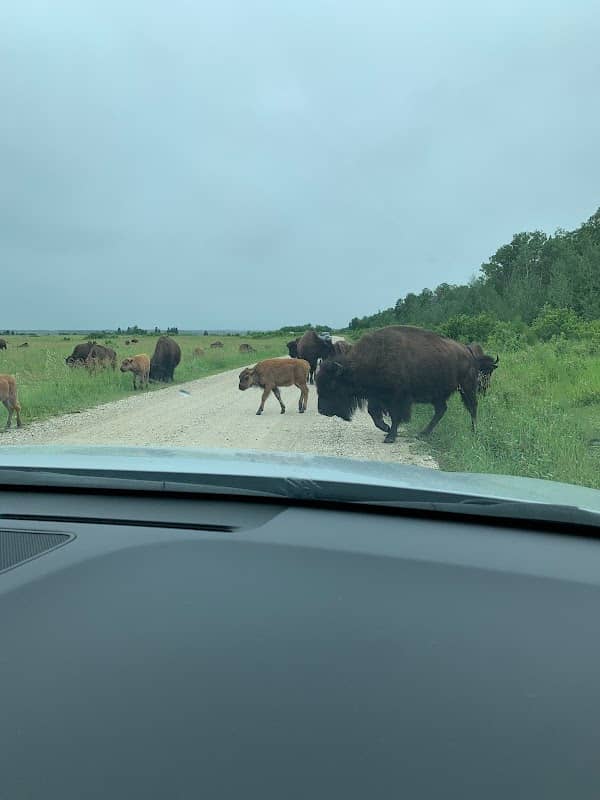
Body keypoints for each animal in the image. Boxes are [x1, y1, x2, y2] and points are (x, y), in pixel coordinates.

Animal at [316, 325, 479, 442]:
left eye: (332, 385)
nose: (322, 410)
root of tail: (467, 350)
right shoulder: (376, 396)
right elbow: (374, 414)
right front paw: (386, 429)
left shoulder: (397, 398)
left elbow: (395, 416)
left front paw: (390, 436)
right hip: (438, 395)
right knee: (441, 410)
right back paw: (422, 434)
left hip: (466, 387)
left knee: (472, 407)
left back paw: (474, 431)